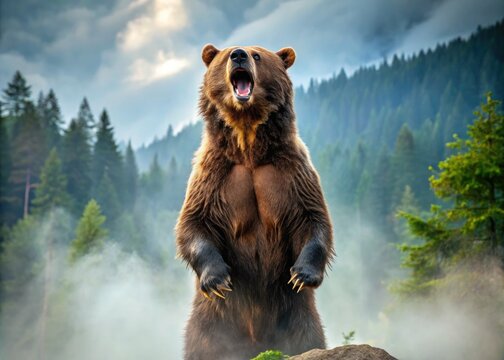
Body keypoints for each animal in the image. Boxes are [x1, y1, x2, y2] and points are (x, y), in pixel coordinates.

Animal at [175, 45, 332, 360]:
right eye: (225, 55)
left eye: (257, 55)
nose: (238, 54)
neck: (247, 144)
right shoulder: (213, 175)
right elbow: (194, 222)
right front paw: (218, 278)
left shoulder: (291, 171)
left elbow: (313, 217)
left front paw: (302, 275)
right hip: (210, 324)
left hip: (297, 316)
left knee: (308, 338)